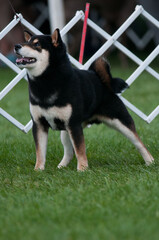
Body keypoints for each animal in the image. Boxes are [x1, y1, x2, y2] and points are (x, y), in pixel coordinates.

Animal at [14, 29, 153, 171]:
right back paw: (61, 166)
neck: (46, 83)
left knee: (139, 143)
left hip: (120, 122)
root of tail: (103, 82)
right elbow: (40, 152)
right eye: (27, 41)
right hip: (66, 132)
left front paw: (82, 169)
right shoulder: (39, 124)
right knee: (69, 151)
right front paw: (38, 170)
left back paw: (150, 162)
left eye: (37, 44)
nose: (17, 46)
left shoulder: (73, 124)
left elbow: (80, 149)